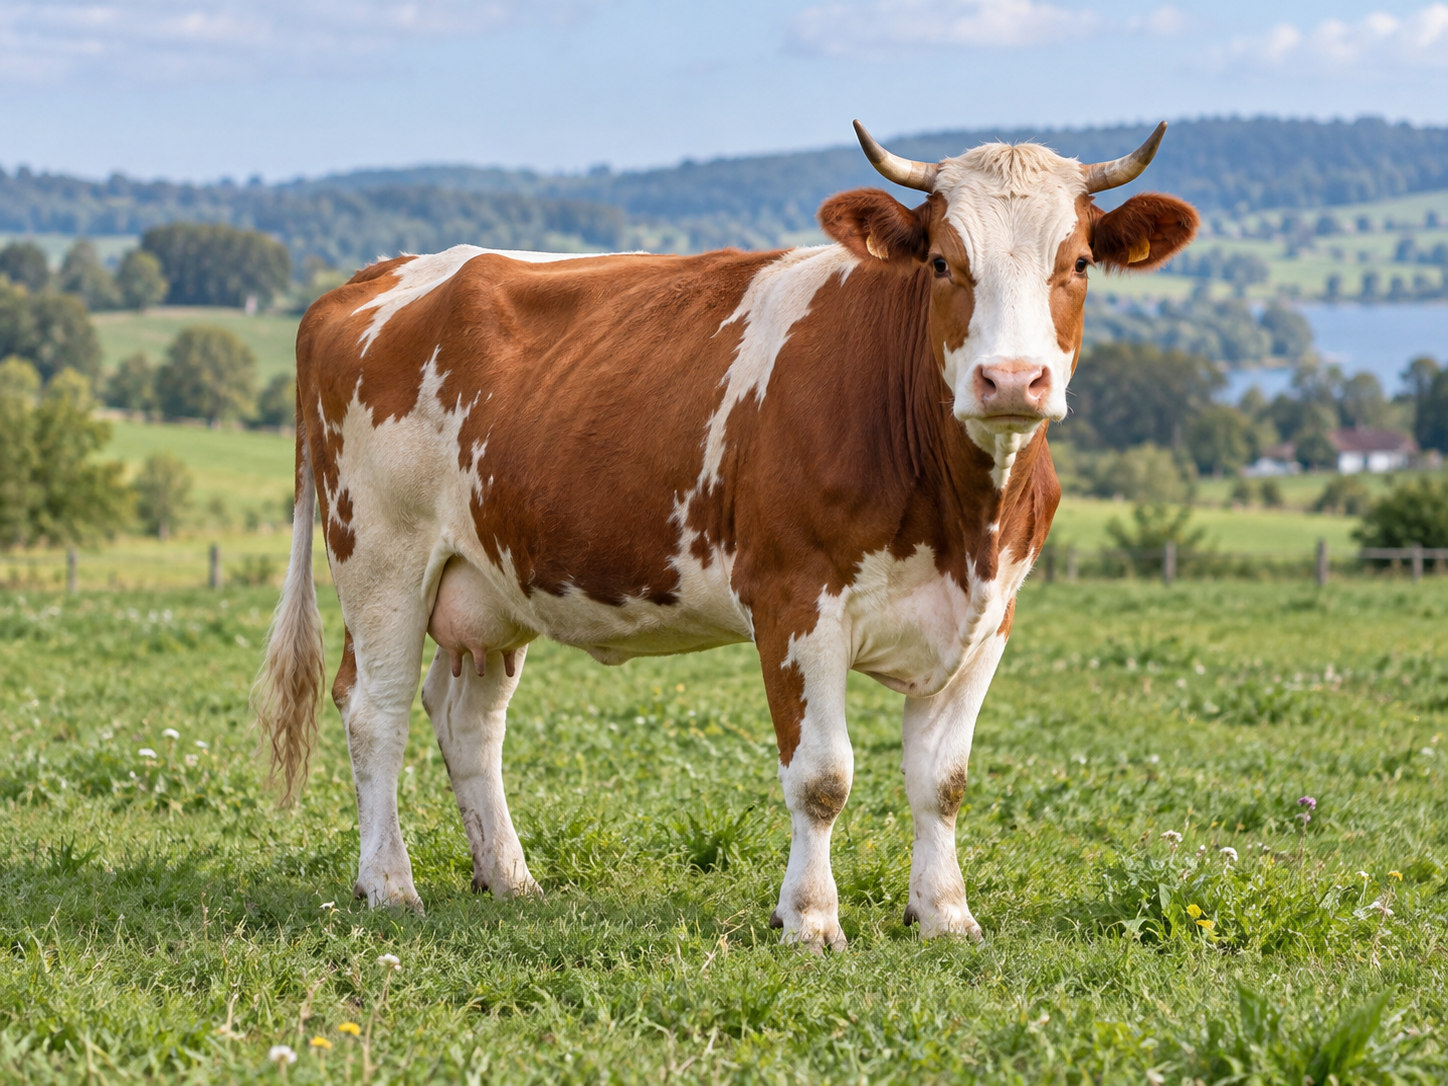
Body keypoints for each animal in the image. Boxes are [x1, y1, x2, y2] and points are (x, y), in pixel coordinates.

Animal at [254, 120, 1197, 951]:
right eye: (942, 261)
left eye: (1078, 263)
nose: (1010, 379)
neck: (960, 516)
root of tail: (374, 277)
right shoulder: (794, 603)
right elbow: (822, 778)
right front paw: (810, 921)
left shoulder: (988, 614)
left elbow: (944, 782)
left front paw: (946, 917)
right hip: (381, 556)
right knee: (373, 713)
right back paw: (389, 885)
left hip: (487, 581)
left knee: (468, 722)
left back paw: (509, 877)